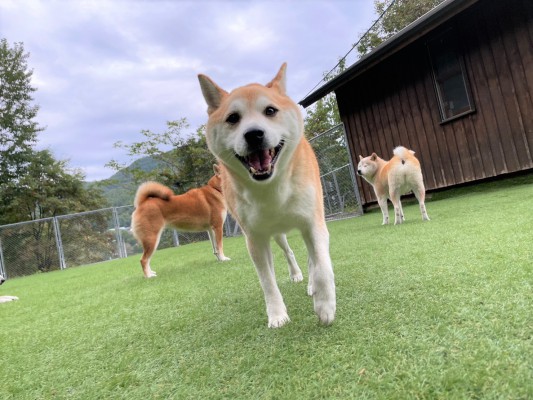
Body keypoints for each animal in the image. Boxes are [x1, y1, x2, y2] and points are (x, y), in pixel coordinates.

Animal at [197, 63, 334, 328]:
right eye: (233, 118)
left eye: (270, 111)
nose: (253, 134)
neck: (270, 189)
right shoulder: (255, 239)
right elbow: (267, 281)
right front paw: (277, 315)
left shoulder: (313, 223)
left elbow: (322, 267)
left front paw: (324, 306)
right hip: (277, 234)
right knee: (288, 252)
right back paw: (296, 274)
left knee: (311, 258)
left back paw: (311, 285)